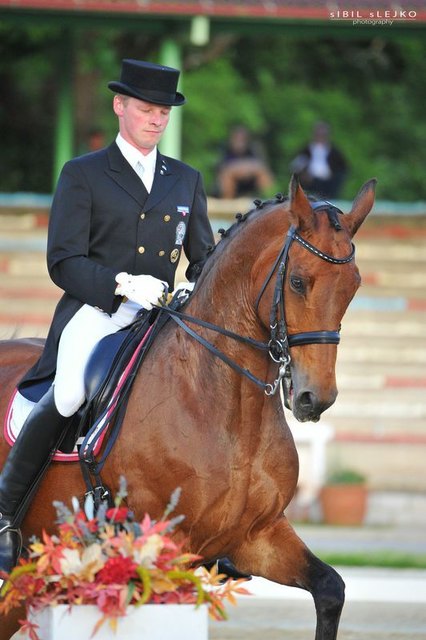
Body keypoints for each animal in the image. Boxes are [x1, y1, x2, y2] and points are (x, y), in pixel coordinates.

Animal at [0, 176, 376, 640]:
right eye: (298, 282)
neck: (231, 412)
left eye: (353, 285)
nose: (314, 397)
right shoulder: (165, 548)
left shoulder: (259, 535)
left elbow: (330, 588)